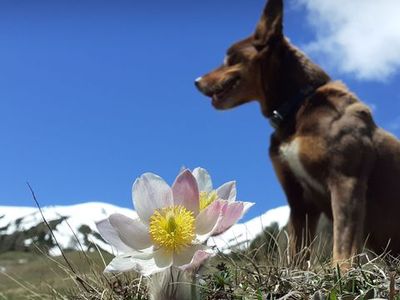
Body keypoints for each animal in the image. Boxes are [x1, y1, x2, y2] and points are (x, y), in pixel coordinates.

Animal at [195, 0, 400, 264]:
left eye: (230, 58)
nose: (196, 81)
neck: (297, 106)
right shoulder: (299, 198)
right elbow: (297, 253)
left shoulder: (346, 181)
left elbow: (344, 245)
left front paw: (342, 271)